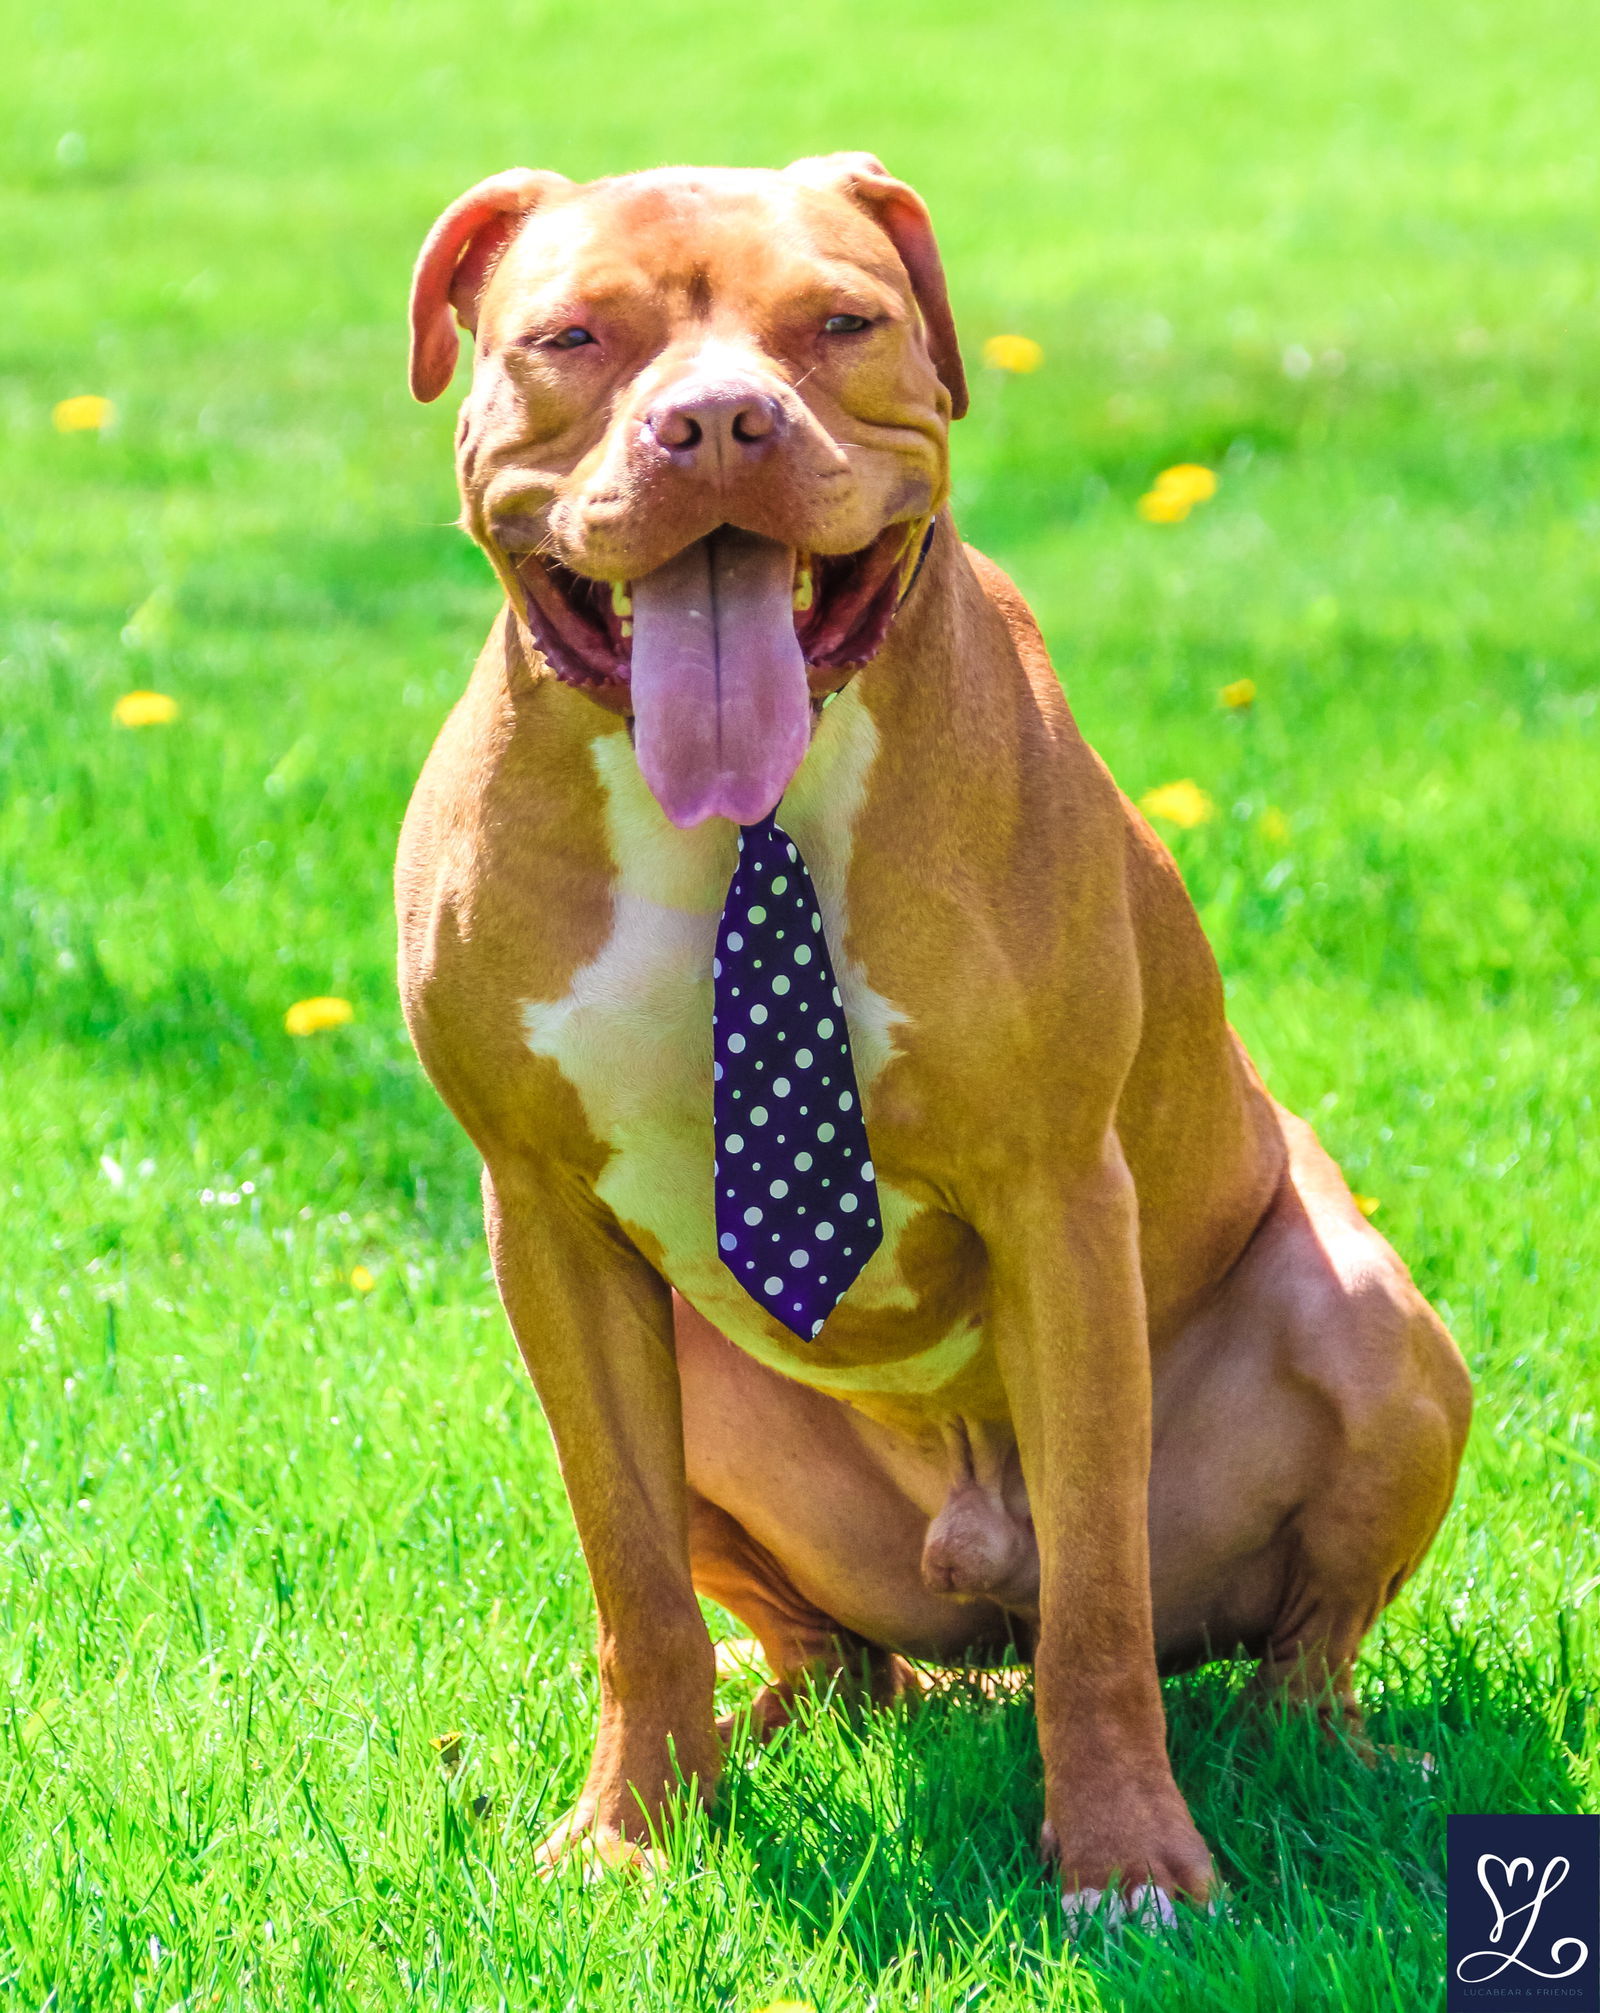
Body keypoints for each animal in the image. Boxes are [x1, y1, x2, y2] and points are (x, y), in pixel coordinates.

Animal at [396, 152, 1473, 1900]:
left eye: (840, 323)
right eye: (570, 336)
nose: (717, 423)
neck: (739, 821)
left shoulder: (1058, 1201)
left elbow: (1101, 1594)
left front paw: (1127, 1858)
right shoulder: (545, 1225)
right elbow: (630, 1575)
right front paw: (634, 1830)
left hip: (1373, 1329)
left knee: (1276, 1641)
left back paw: (1312, 1757)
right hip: (700, 1383)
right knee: (827, 1651)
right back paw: (763, 1730)